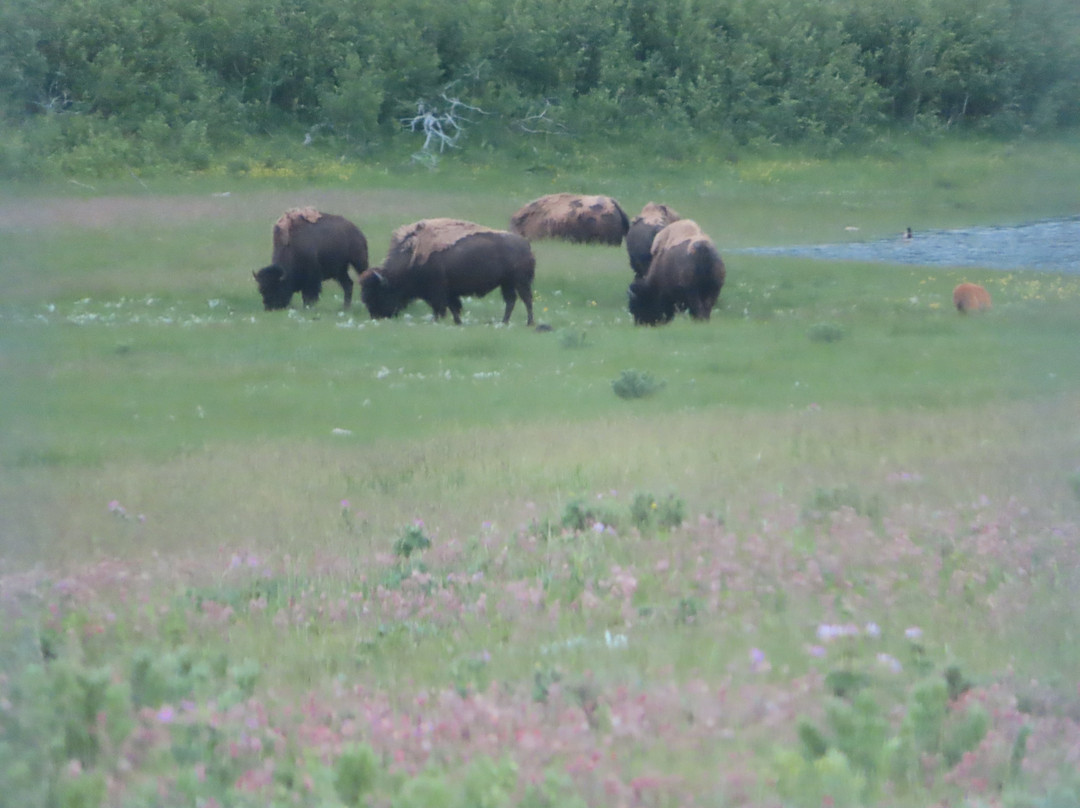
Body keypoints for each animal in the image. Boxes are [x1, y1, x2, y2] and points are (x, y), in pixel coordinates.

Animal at [359, 218, 536, 325]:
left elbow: (440, 308)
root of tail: (525, 245)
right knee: (511, 300)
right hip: (506, 283)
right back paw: (504, 322)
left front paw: (437, 321)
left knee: (526, 300)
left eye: (378, 292)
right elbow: (453, 307)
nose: (376, 316)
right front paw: (458, 322)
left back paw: (529, 323)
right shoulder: (449, 292)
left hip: (520, 282)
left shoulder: (437, 292)